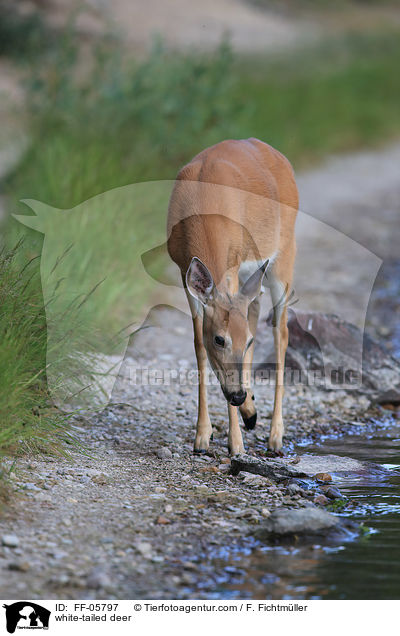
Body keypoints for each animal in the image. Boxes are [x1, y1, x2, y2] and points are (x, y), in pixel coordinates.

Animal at [166, 137, 296, 454]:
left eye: (246, 342)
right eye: (219, 339)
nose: (237, 396)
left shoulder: (233, 267)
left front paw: (235, 444)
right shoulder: (183, 271)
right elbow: (198, 346)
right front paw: (202, 436)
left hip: (284, 258)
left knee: (281, 332)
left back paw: (275, 435)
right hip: (256, 275)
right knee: (257, 312)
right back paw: (251, 412)